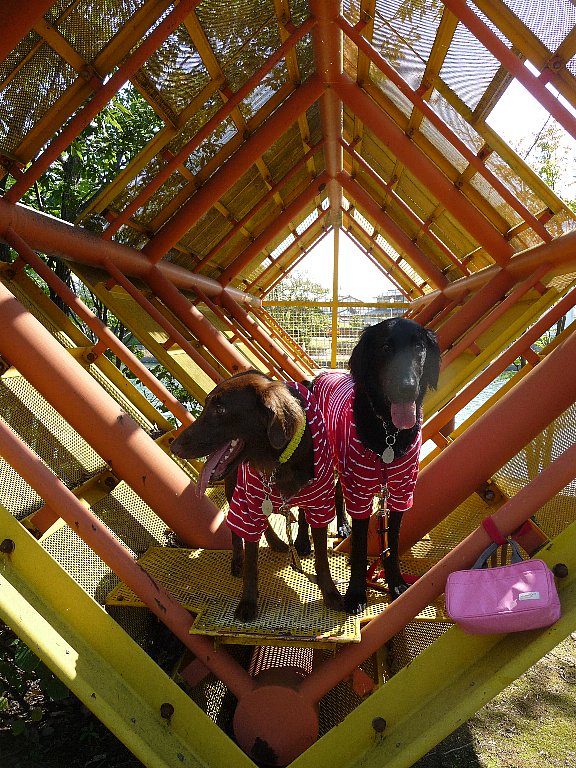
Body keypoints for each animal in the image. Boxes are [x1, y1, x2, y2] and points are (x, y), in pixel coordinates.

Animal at [170, 370, 343, 621]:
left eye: (220, 410)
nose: (174, 447)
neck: (281, 461)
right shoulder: (250, 500)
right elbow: (252, 562)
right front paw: (248, 602)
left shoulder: (320, 505)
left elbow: (321, 557)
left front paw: (330, 593)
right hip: (236, 489)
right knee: (236, 527)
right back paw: (241, 558)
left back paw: (279, 543)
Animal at [312, 317, 441, 614]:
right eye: (385, 347)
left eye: (419, 346)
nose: (407, 387)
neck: (388, 434)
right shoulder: (359, 486)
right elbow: (359, 548)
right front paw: (356, 594)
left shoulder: (401, 491)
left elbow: (391, 543)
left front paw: (396, 585)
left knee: (337, 489)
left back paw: (342, 526)